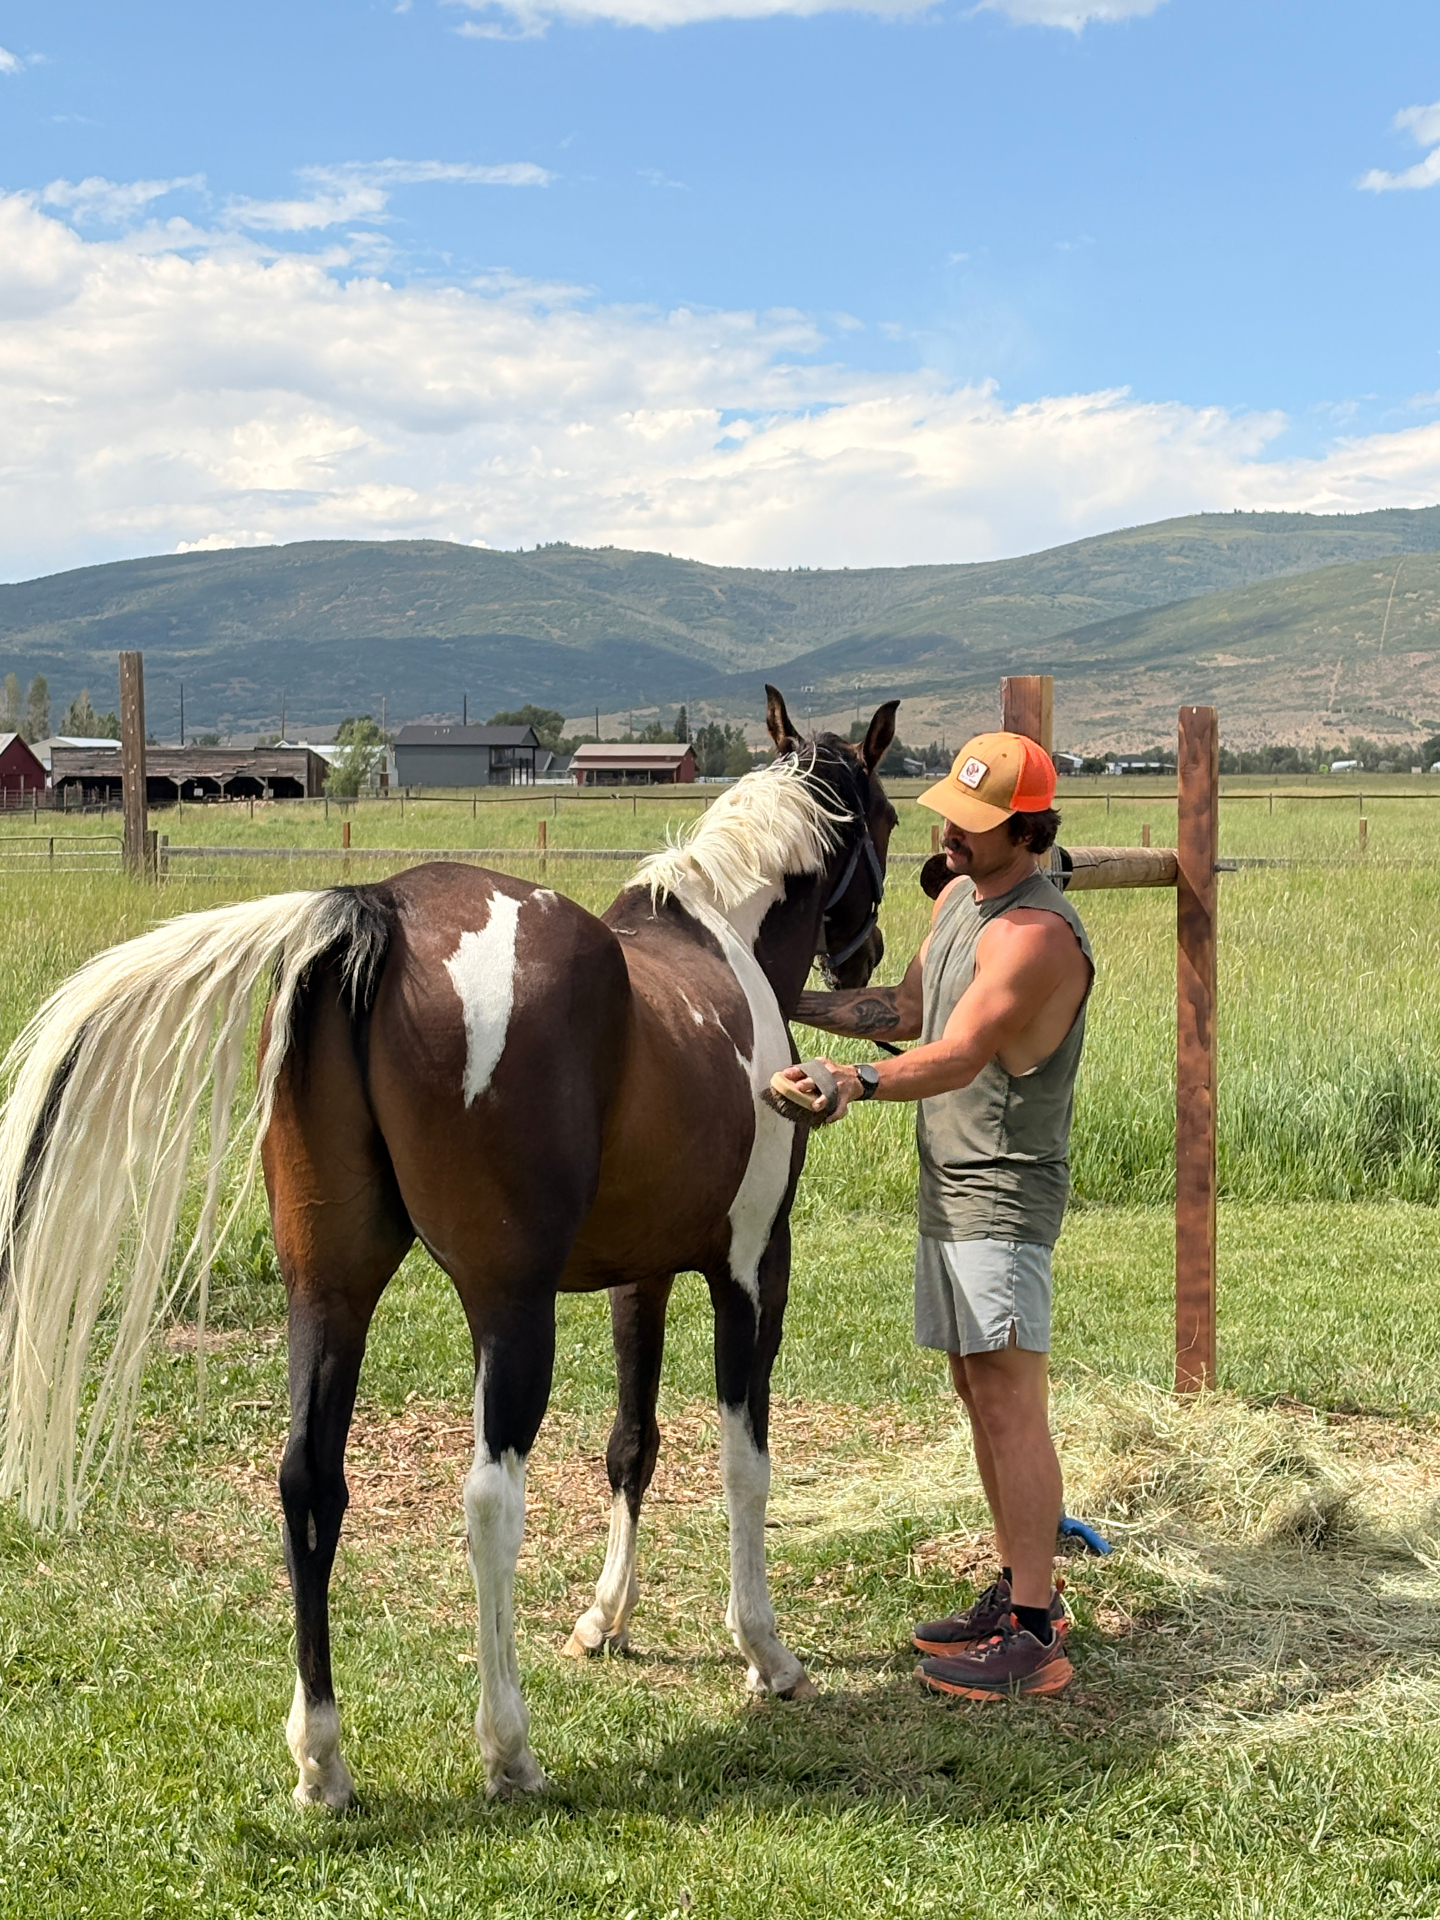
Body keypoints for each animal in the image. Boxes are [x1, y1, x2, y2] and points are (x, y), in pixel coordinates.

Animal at [0, 686, 897, 1808]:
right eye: (886, 818)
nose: (867, 957)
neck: (716, 947)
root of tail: (378, 911)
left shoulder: (638, 1278)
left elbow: (632, 1443)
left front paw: (606, 1619)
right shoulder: (747, 1268)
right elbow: (743, 1460)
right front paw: (766, 1654)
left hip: (330, 1289)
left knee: (308, 1484)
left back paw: (322, 1760)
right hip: (507, 1306)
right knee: (489, 1502)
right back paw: (508, 1748)